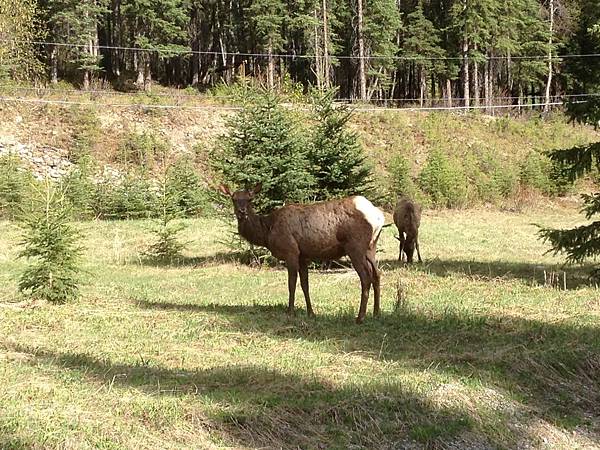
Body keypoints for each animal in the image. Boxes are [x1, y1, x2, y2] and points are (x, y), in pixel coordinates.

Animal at [220, 184, 384, 324]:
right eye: (234, 198)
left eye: (250, 199)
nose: (242, 212)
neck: (267, 232)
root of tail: (378, 217)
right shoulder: (303, 256)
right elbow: (305, 284)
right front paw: (311, 312)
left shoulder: (291, 251)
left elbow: (291, 283)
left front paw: (290, 311)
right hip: (371, 247)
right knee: (376, 273)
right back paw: (376, 313)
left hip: (355, 246)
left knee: (366, 277)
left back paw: (360, 317)